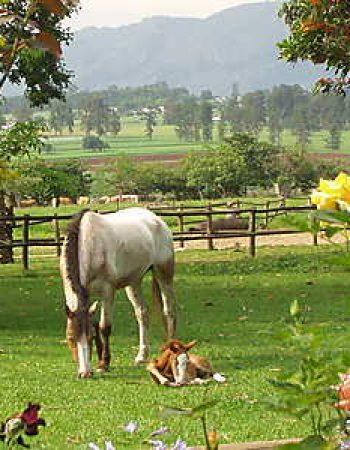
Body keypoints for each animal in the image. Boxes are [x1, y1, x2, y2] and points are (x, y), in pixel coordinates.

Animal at [59, 207, 178, 376]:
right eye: (70, 338)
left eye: (90, 337)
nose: (85, 373)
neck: (88, 242)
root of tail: (157, 219)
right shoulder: (87, 296)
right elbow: (95, 324)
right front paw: (99, 361)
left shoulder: (107, 291)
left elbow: (104, 327)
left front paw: (104, 363)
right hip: (134, 282)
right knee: (142, 313)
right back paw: (141, 356)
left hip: (164, 273)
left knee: (169, 311)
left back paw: (170, 351)